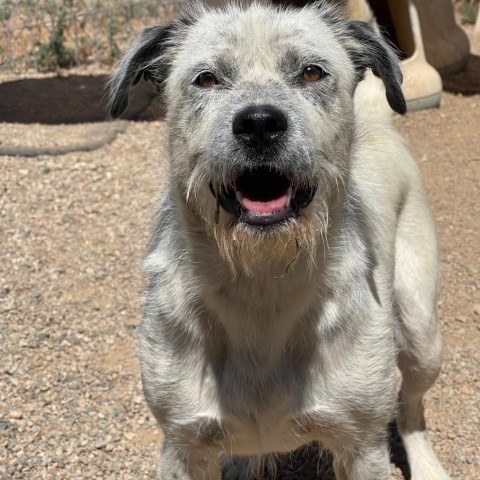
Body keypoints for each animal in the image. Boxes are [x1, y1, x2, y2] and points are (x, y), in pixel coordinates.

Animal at [109, 1, 450, 478]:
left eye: (311, 72)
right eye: (206, 78)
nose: (259, 124)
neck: (261, 284)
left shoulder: (362, 447)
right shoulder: (183, 446)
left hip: (421, 336)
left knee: (411, 408)